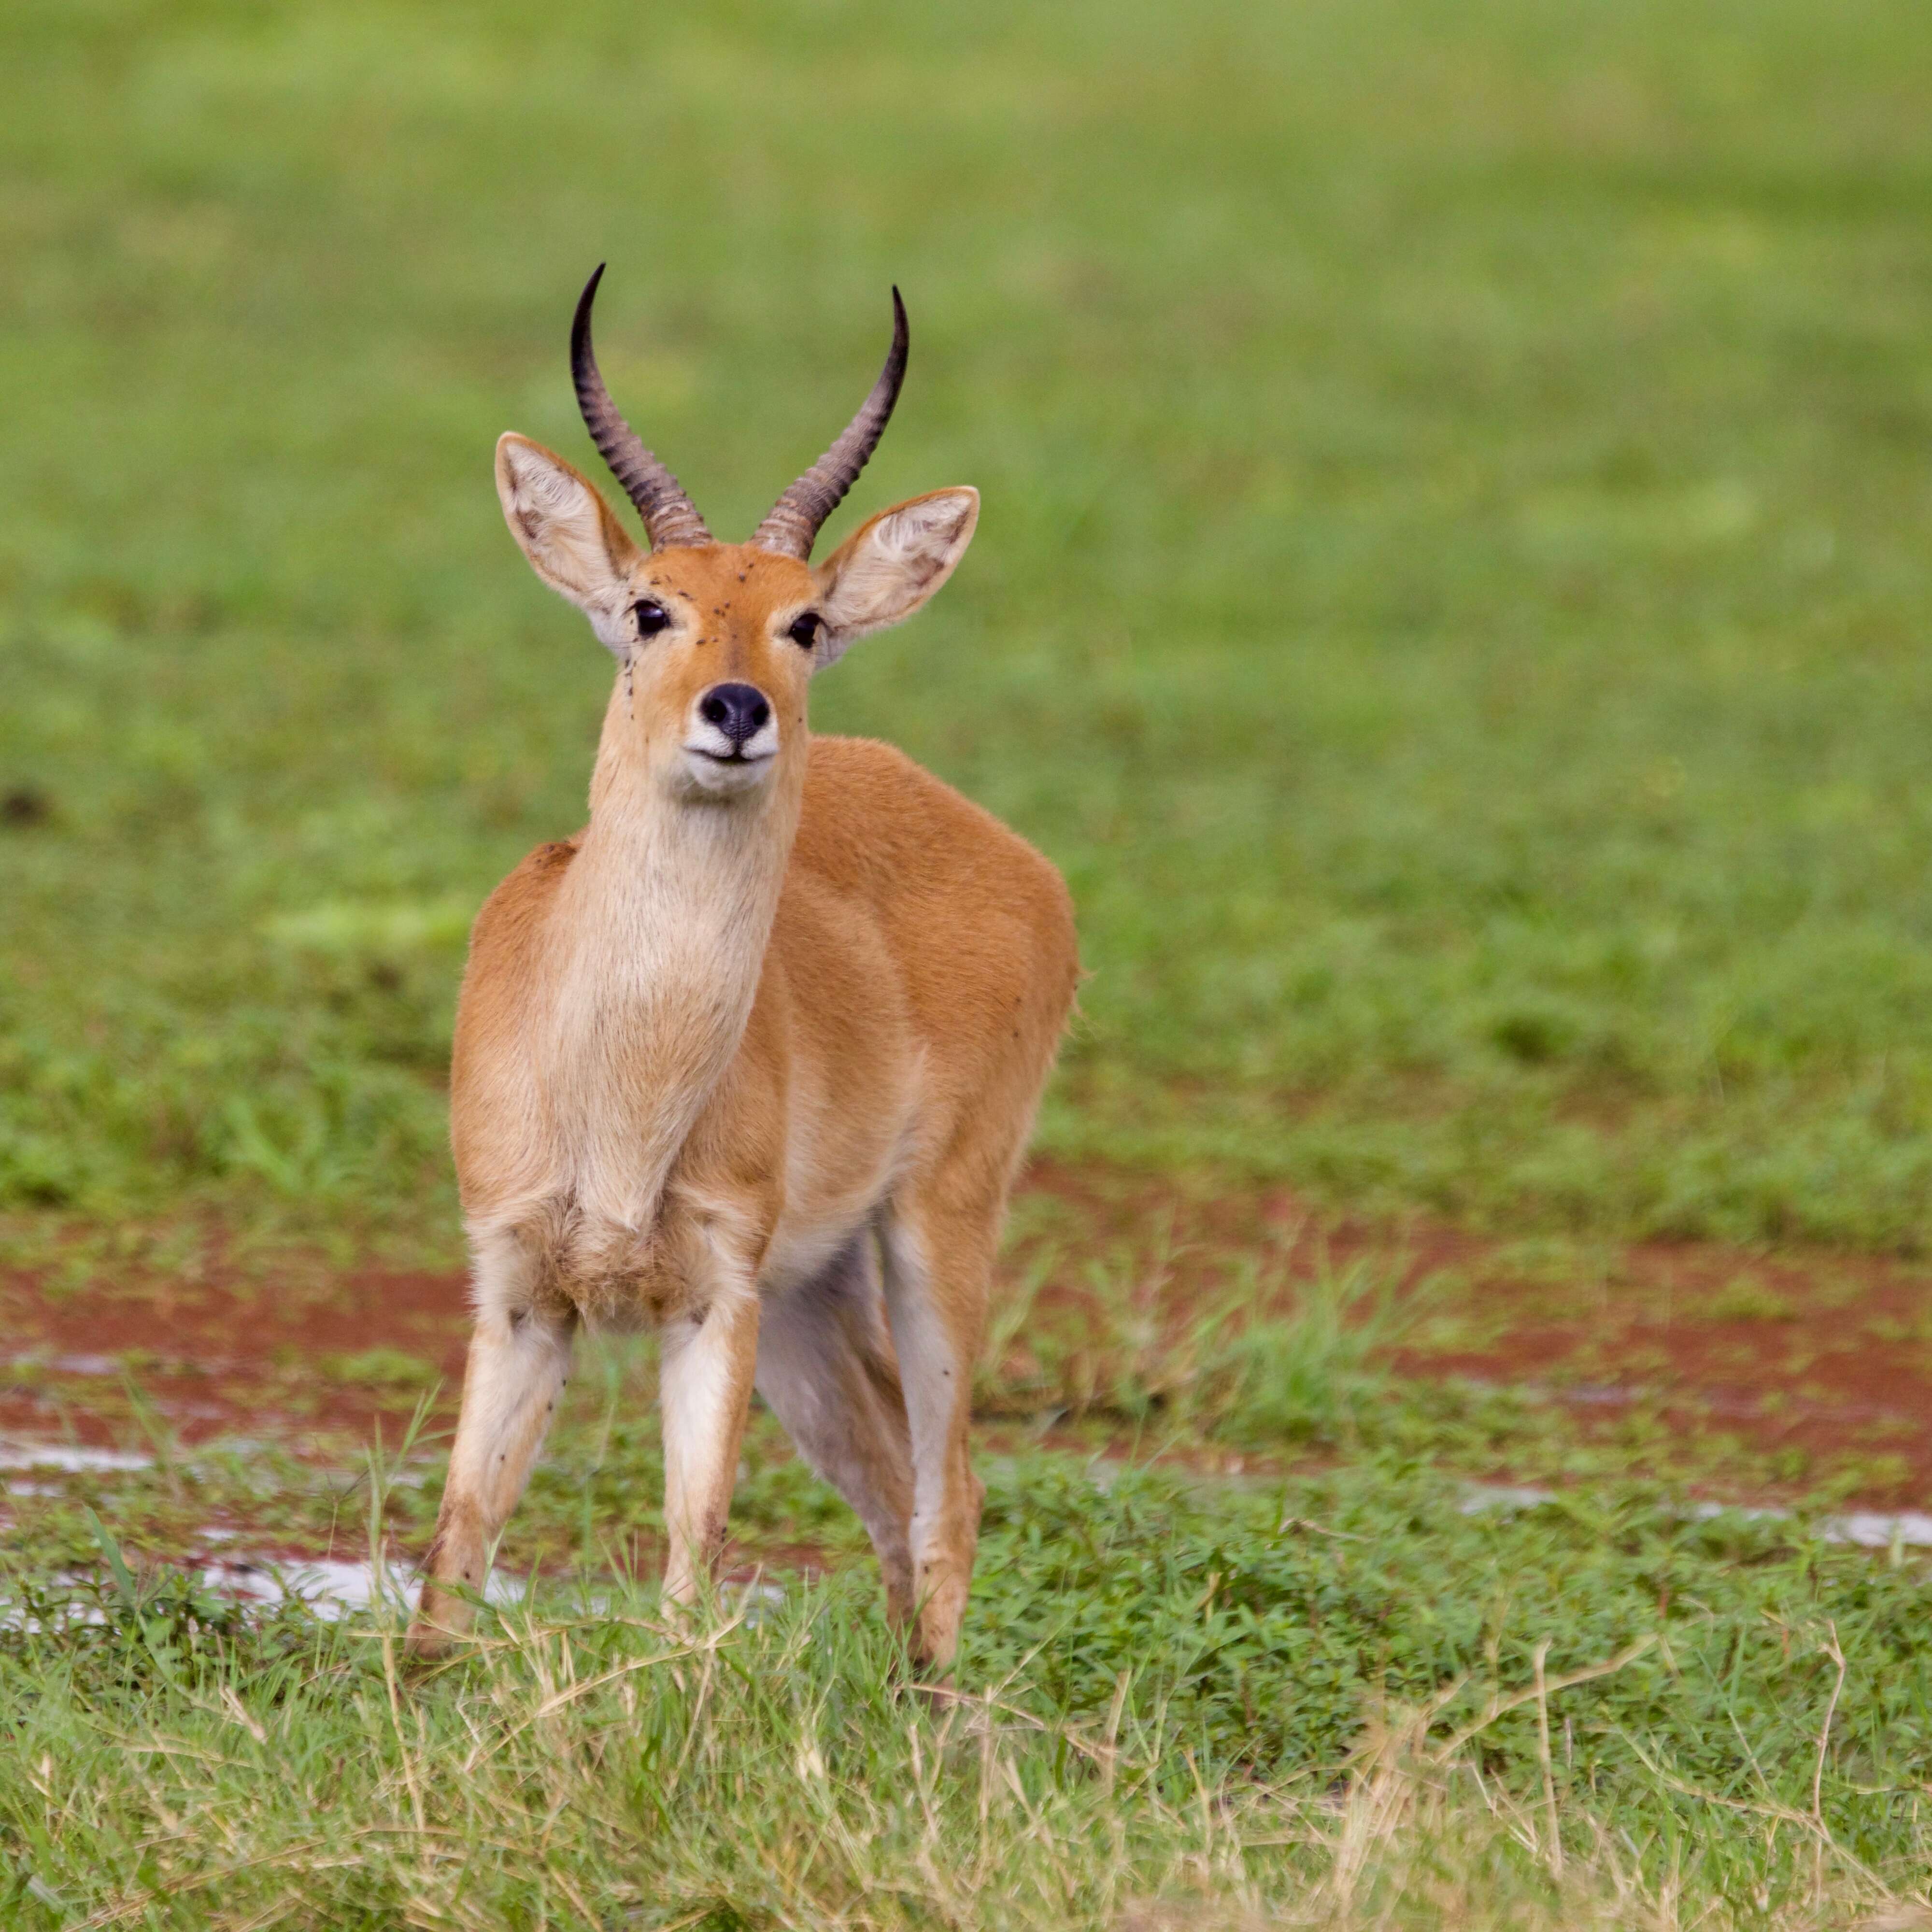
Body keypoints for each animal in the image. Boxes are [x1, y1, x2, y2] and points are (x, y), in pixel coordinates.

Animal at [410, 265, 1082, 1669]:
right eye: (648, 606)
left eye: (804, 619)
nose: (736, 711)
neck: (620, 1095)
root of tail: (1007, 850)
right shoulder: (519, 1288)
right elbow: (455, 1550)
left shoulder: (713, 1298)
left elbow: (690, 1561)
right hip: (817, 1296)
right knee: (888, 1478)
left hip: (934, 1226)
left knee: (950, 1495)